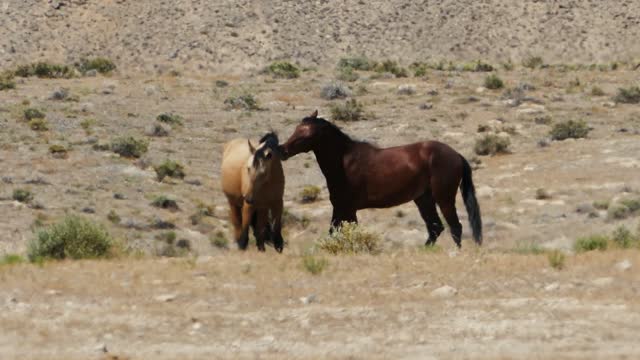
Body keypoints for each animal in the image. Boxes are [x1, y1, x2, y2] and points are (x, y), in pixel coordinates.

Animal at [278, 111, 482, 249]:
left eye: (307, 134)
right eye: (296, 129)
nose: (282, 150)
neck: (344, 161)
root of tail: (455, 155)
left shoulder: (346, 208)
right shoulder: (341, 208)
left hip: (444, 198)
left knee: (455, 227)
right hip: (423, 199)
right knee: (436, 228)